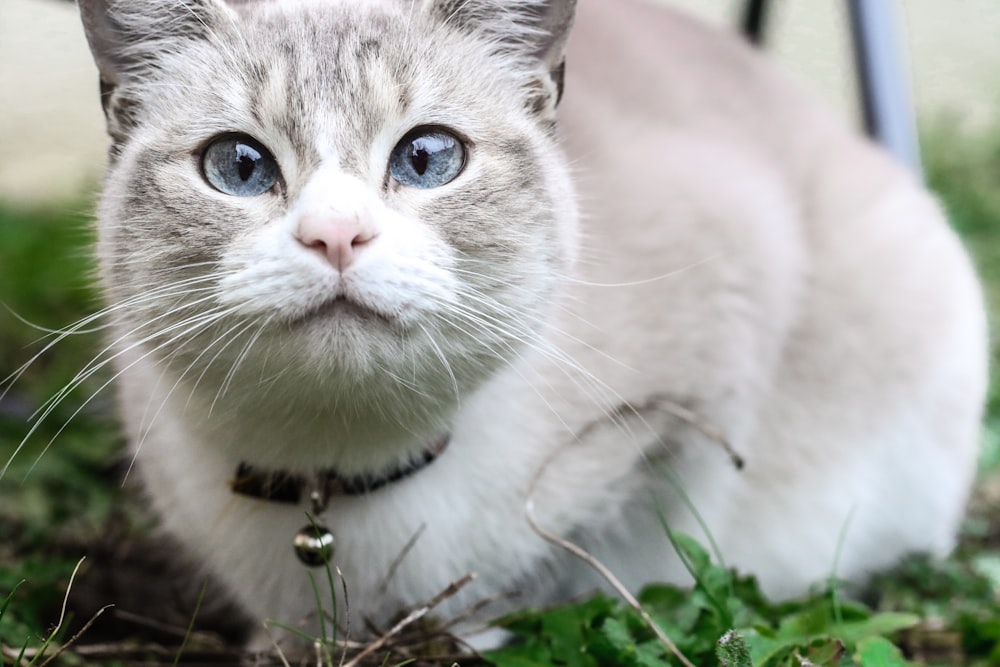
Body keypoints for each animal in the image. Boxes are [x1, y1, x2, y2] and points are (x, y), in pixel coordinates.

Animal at [74, 0, 988, 652]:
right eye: (239, 165)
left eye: (427, 158)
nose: (336, 234)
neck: (337, 486)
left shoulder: (710, 364)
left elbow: (588, 564)